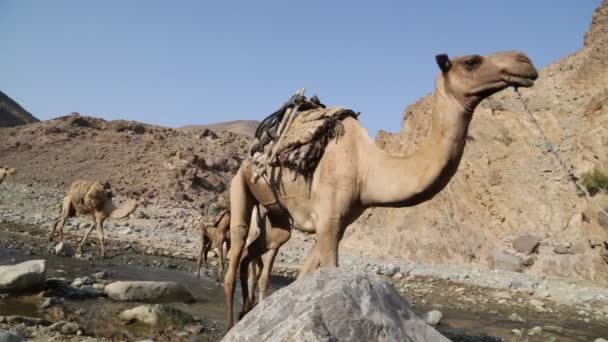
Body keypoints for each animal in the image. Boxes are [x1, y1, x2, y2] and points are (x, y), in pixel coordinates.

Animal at [226, 50, 540, 326]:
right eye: (472, 61)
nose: (525, 62)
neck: (366, 169)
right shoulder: (327, 220)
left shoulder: (337, 223)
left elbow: (305, 278)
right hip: (239, 185)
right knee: (237, 249)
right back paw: (232, 320)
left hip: (277, 216)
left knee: (258, 251)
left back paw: (246, 312)